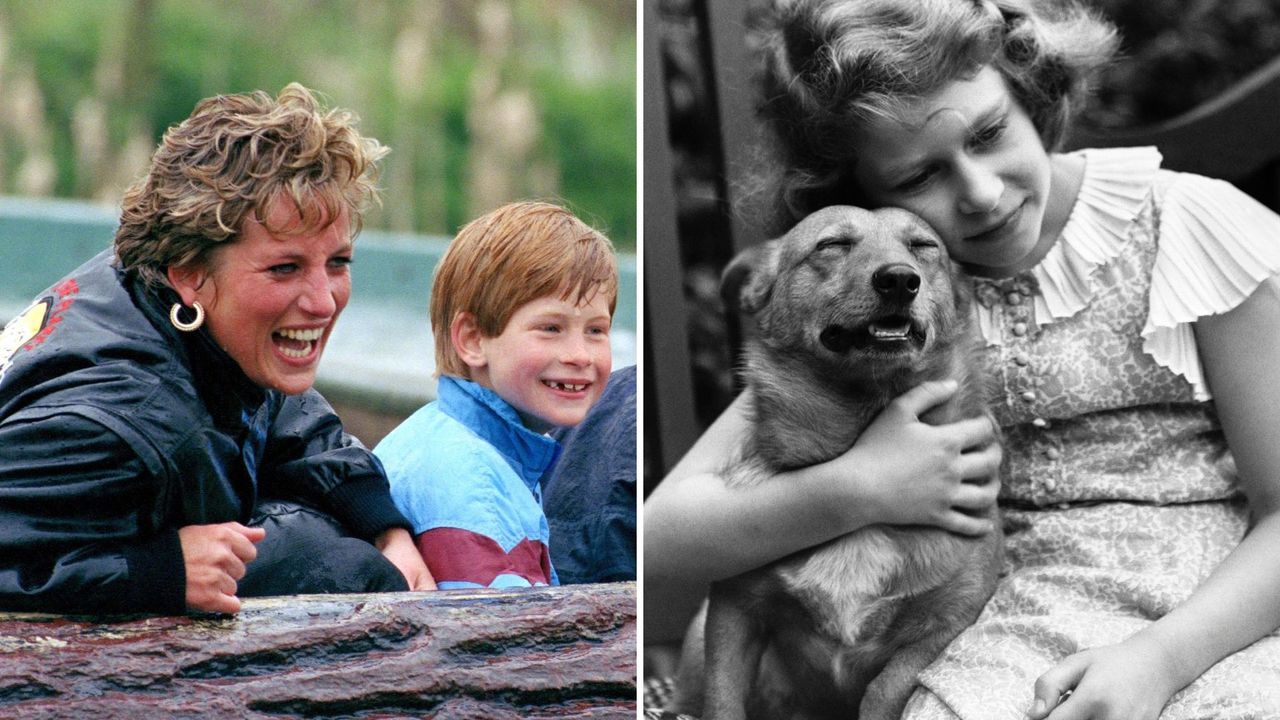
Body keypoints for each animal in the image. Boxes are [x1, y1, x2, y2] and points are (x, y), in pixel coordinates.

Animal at [675, 203, 1003, 717]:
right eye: (832, 245)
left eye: (923, 247)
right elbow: (723, 701)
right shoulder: (733, 610)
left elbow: (886, 689)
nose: (899, 279)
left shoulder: (948, 623)